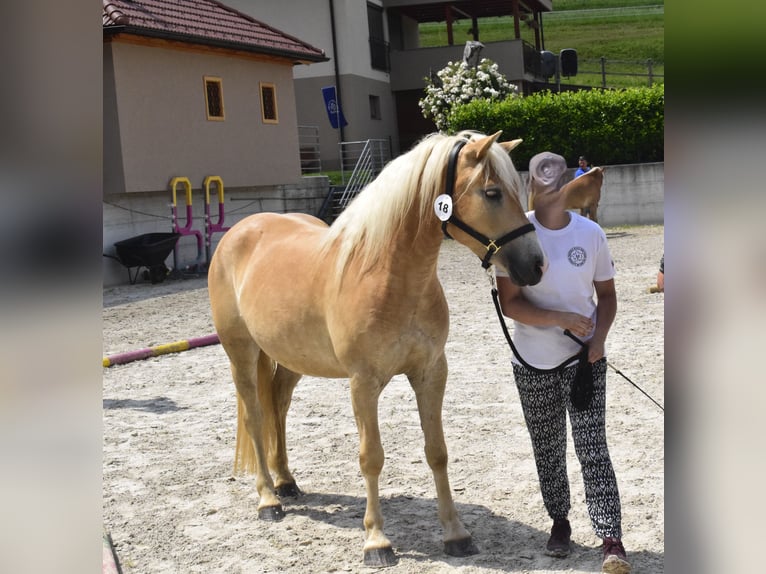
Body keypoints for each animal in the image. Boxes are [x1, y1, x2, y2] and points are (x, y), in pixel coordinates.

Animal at [207, 129, 548, 568]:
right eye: (492, 193)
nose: (536, 265)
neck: (387, 275)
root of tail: (241, 231)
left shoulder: (431, 372)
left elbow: (437, 451)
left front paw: (455, 534)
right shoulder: (363, 383)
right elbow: (371, 457)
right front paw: (376, 541)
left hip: (291, 357)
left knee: (277, 406)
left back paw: (285, 482)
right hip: (242, 353)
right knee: (254, 416)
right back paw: (268, 500)